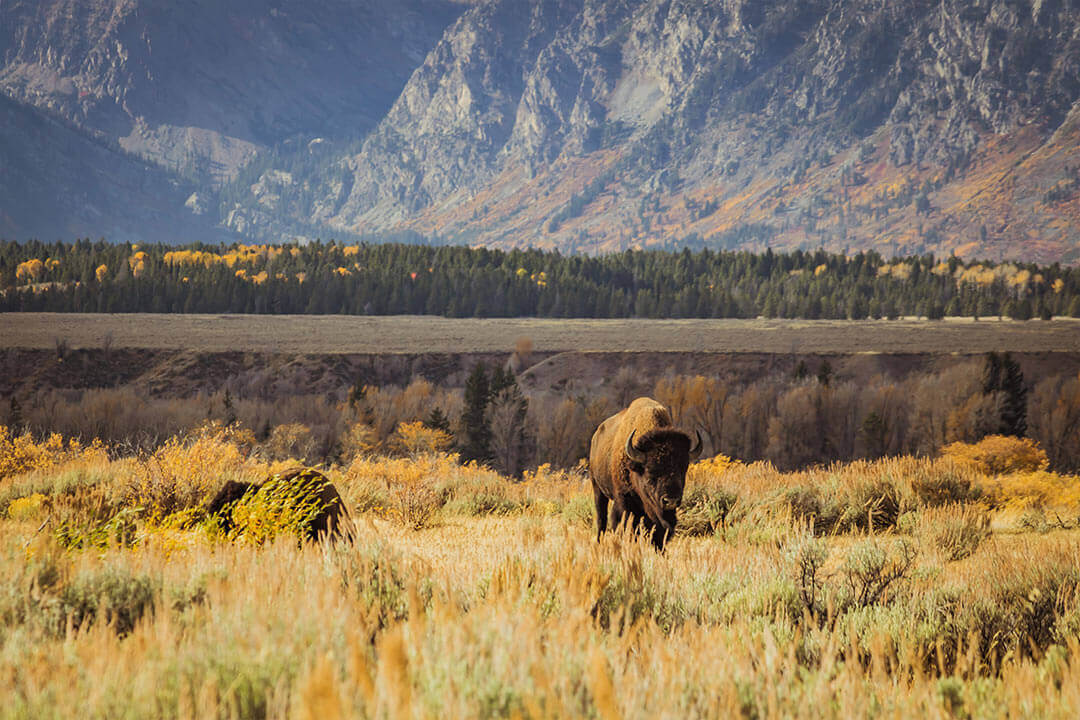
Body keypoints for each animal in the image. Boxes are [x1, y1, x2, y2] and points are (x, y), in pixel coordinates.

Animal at [591, 397, 699, 548]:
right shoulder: (625, 501)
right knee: (602, 519)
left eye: (683, 469)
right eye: (650, 471)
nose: (670, 501)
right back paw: (599, 543)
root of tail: (595, 437)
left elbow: (657, 532)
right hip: (597, 488)